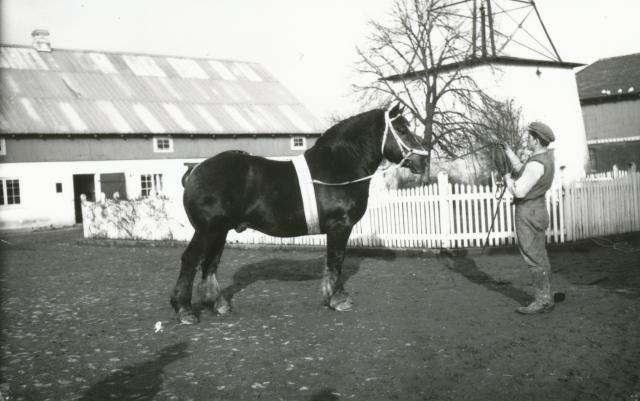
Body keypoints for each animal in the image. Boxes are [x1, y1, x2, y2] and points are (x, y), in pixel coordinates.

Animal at [172, 102, 428, 322]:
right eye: (402, 129)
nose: (423, 161)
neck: (339, 165)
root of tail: (195, 170)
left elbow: (332, 262)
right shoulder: (340, 227)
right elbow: (336, 261)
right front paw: (338, 300)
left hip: (220, 231)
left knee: (210, 263)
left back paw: (218, 305)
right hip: (207, 230)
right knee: (191, 260)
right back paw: (185, 310)